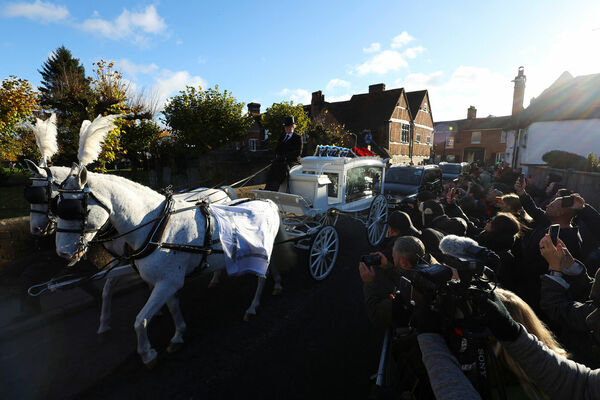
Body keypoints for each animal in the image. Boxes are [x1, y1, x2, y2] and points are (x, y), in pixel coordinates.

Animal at [54, 165, 284, 366]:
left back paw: (253, 307)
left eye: (75, 210)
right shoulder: (166, 280)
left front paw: (147, 353)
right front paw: (178, 334)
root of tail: (267, 201)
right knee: (270, 267)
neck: (158, 227)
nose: (62, 253)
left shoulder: (167, 282)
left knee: (261, 277)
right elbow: (172, 307)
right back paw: (276, 285)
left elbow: (140, 320)